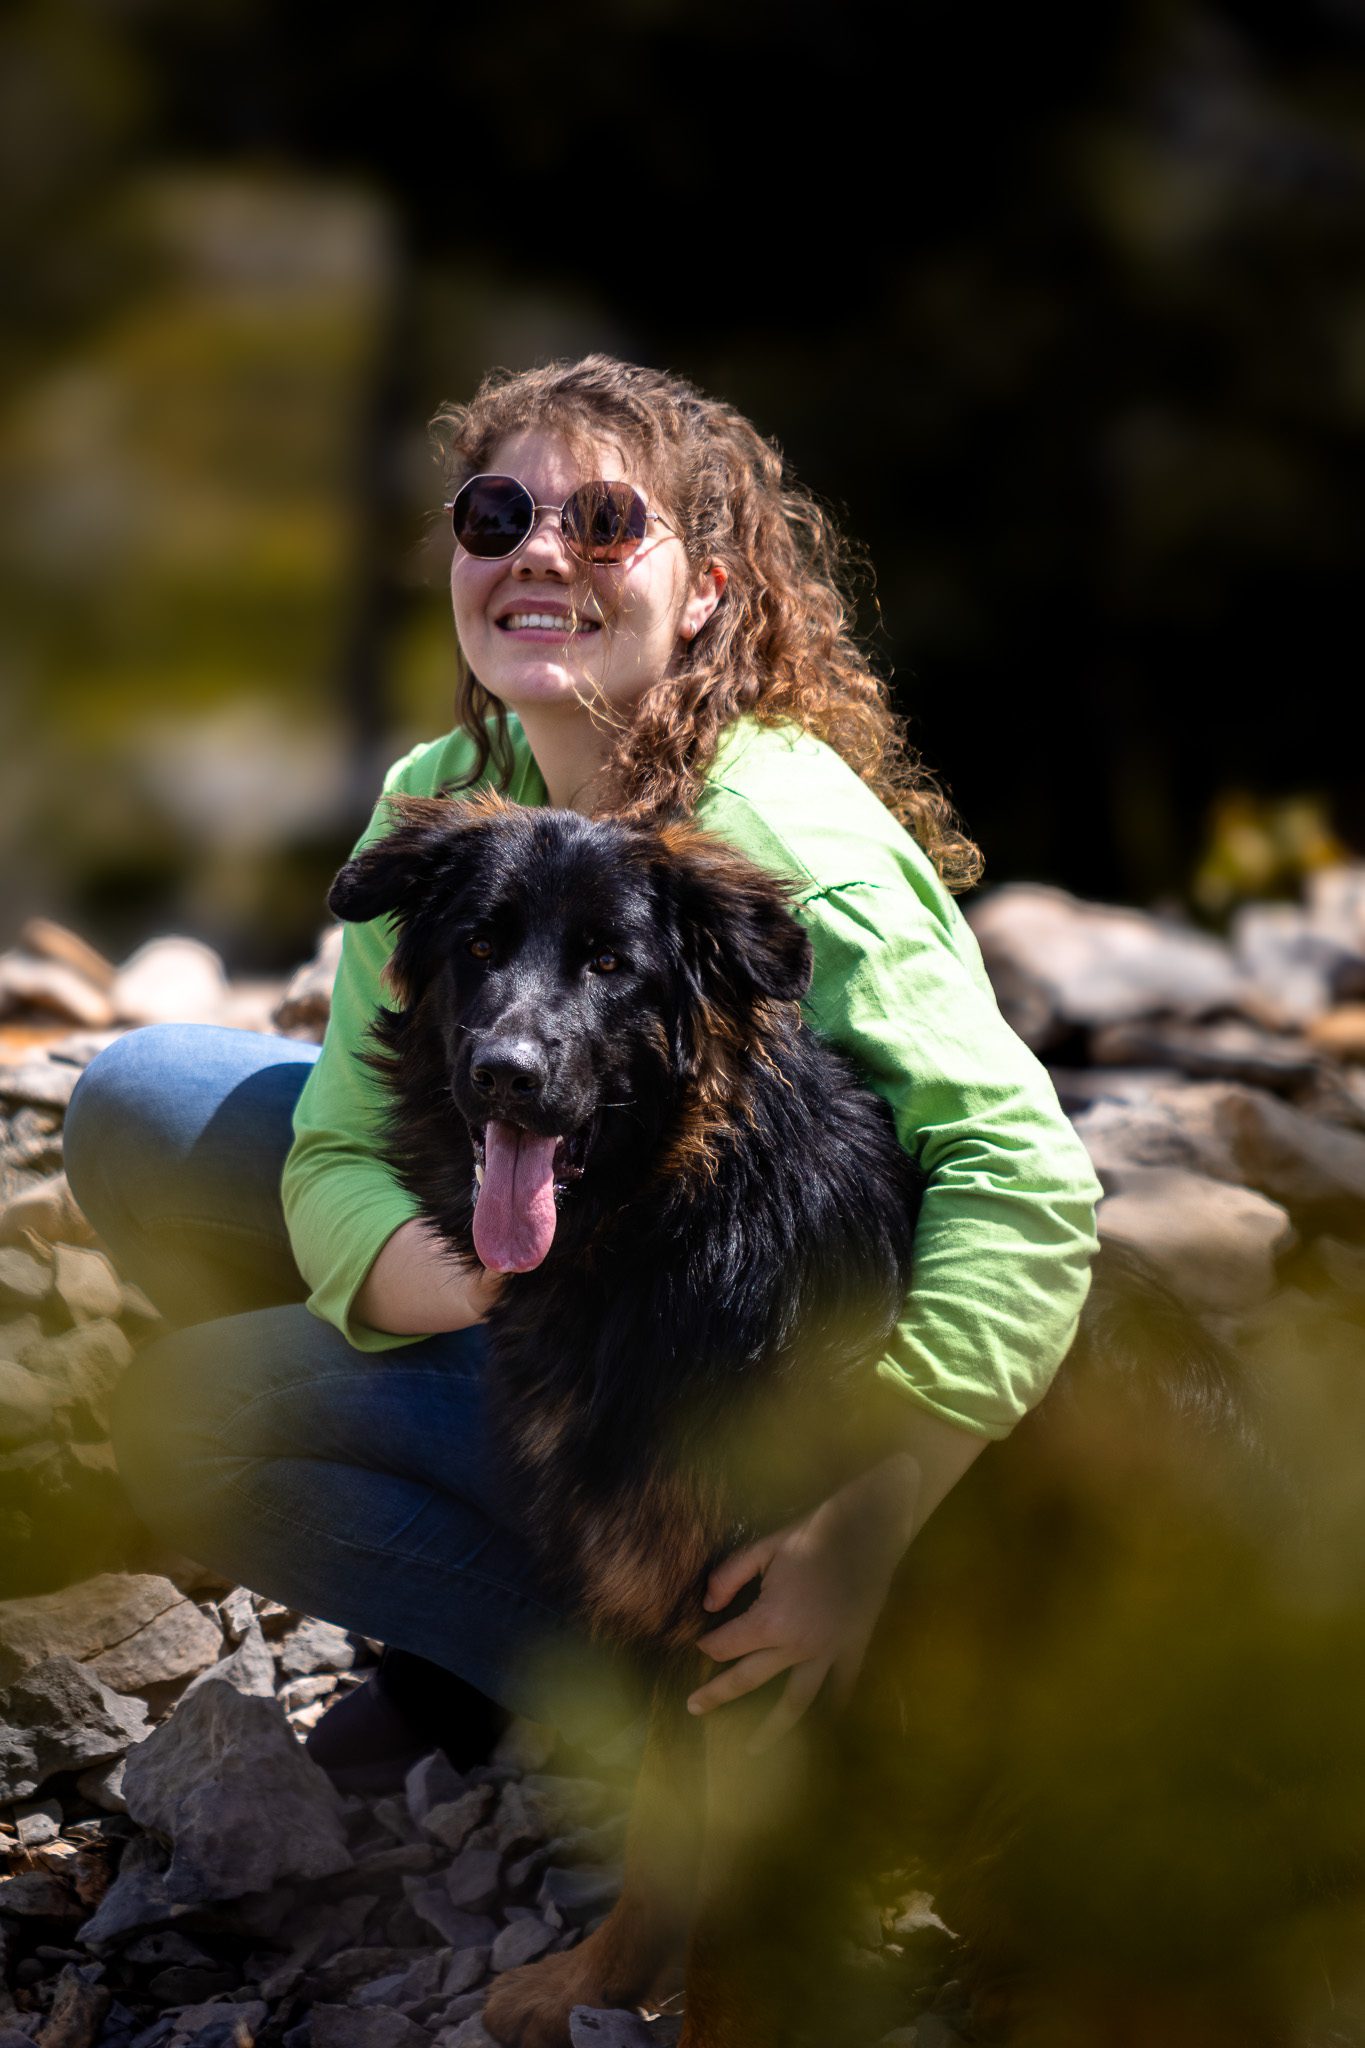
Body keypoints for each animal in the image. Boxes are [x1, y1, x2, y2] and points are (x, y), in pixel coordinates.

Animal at [329, 792, 1339, 2048]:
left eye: (610, 964)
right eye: (478, 945)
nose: (505, 1074)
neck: (674, 1224)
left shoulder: (775, 1635)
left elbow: (735, 1914)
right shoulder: (687, 1616)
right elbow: (662, 1831)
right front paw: (593, 1981)